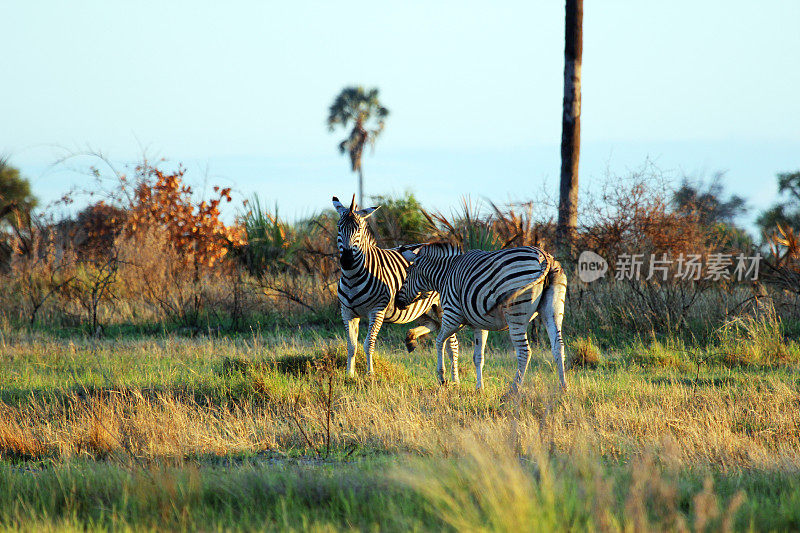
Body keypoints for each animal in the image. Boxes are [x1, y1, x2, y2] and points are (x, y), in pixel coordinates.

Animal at [332, 194, 456, 374]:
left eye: (359, 230)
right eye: (338, 228)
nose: (347, 261)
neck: (352, 278)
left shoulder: (377, 311)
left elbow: (368, 344)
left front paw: (370, 375)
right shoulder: (347, 312)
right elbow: (352, 346)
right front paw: (350, 375)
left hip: (444, 306)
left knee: (452, 346)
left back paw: (455, 378)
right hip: (418, 306)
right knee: (434, 323)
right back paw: (411, 339)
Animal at [396, 243, 564, 392]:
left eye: (407, 273)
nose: (397, 302)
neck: (445, 275)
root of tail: (544, 256)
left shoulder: (452, 316)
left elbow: (439, 342)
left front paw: (442, 378)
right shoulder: (479, 325)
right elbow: (478, 357)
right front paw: (479, 388)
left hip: (516, 313)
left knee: (524, 352)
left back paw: (513, 390)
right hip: (553, 311)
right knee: (558, 347)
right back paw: (563, 388)